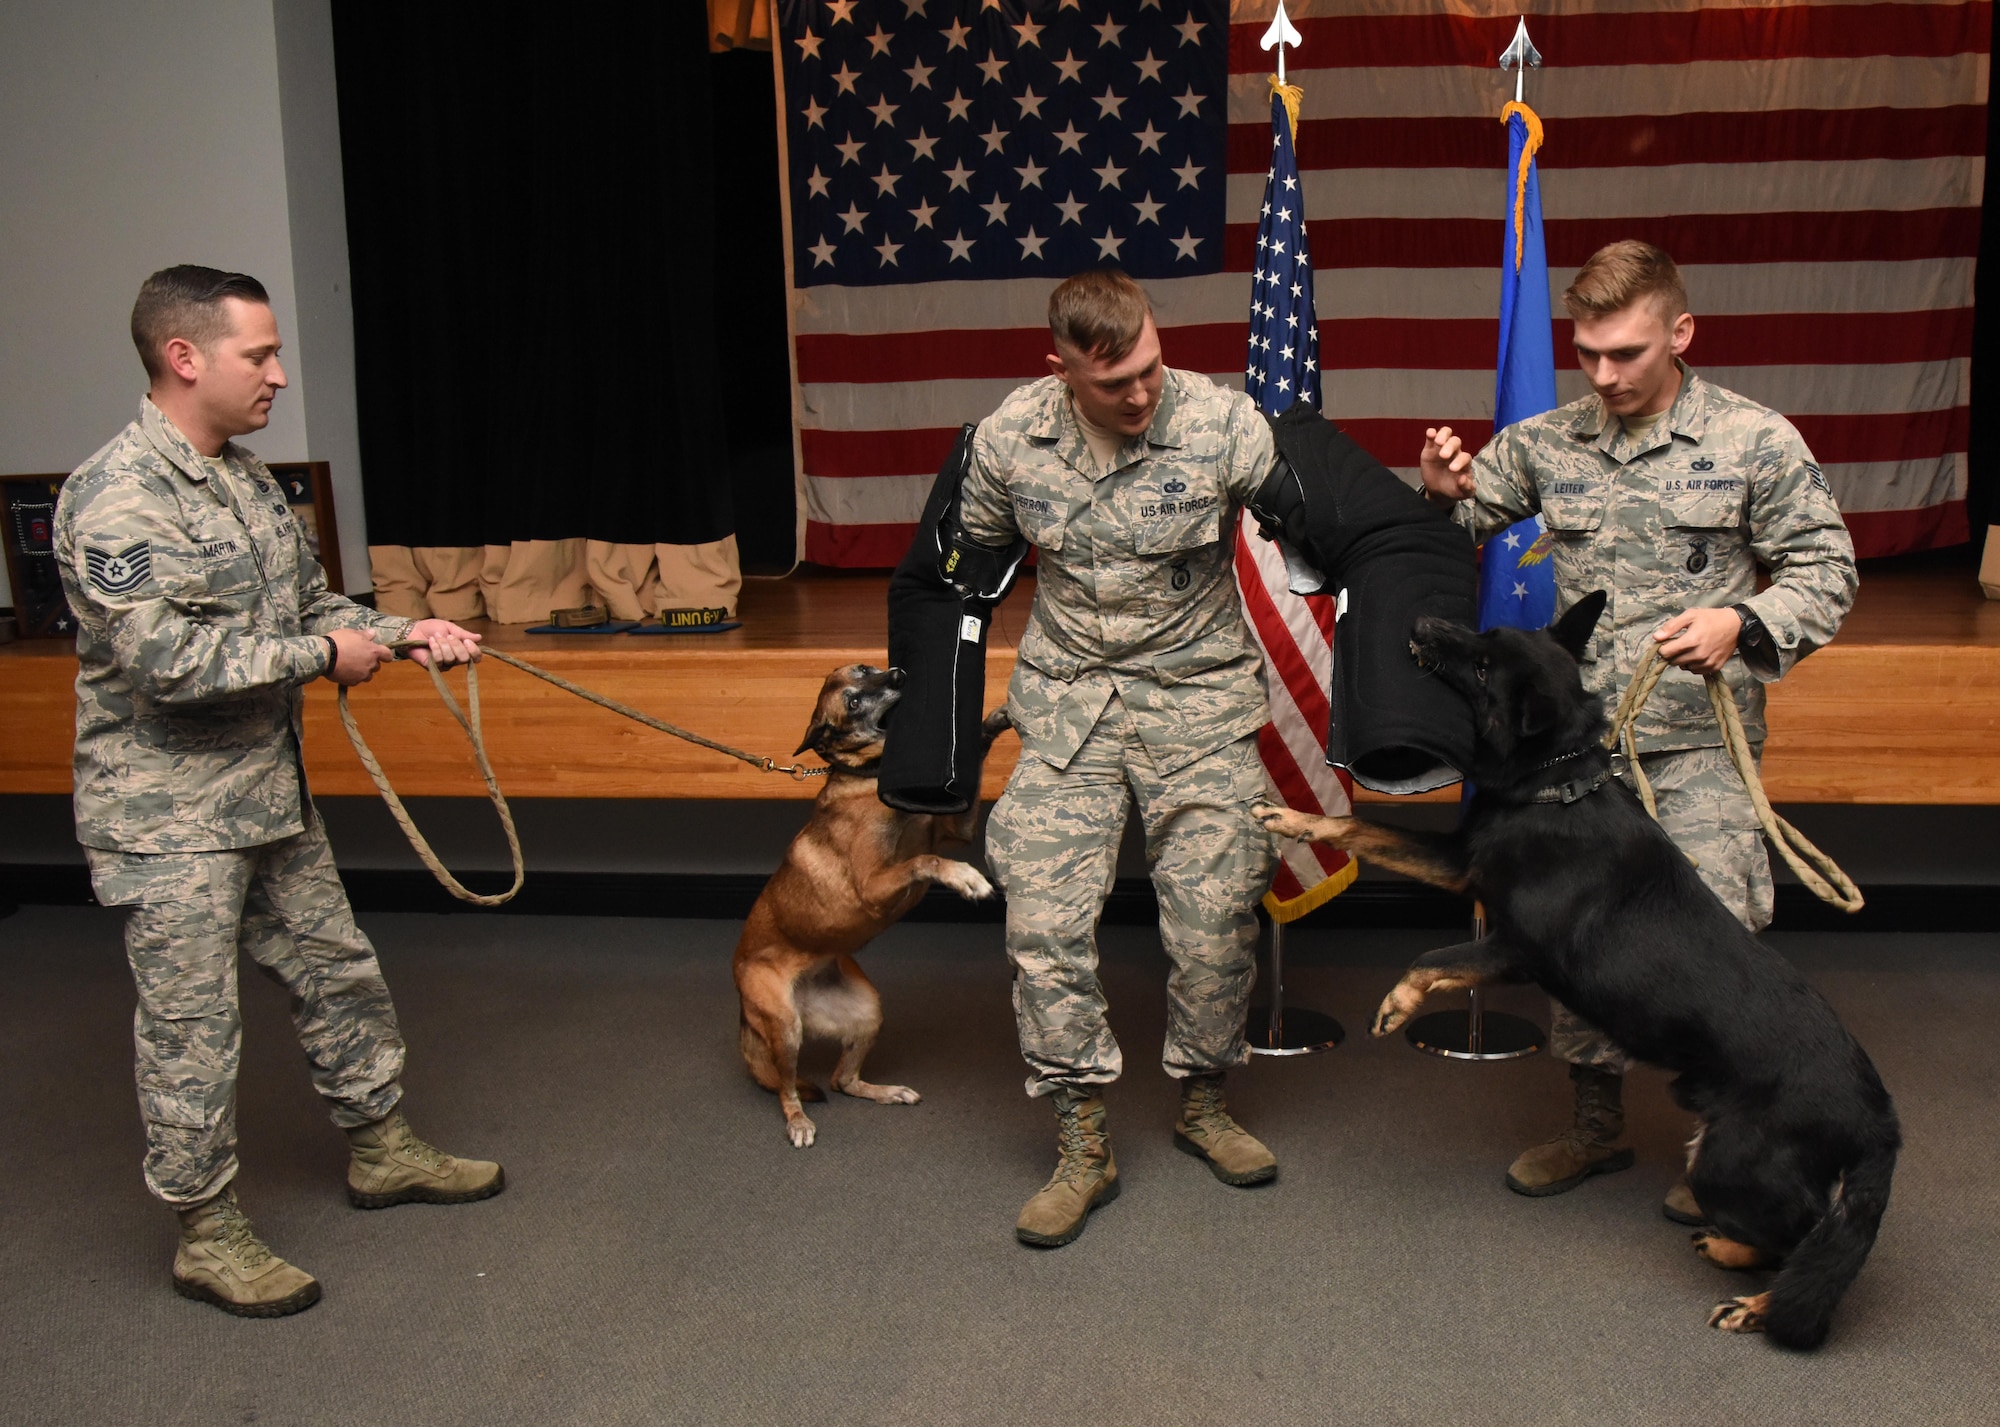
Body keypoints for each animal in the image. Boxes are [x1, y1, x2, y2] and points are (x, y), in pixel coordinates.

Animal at [736, 659, 1008, 1143]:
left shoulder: (956, 830)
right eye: (854, 703)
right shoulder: (875, 886)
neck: (869, 779)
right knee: (788, 1087)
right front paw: (965, 878)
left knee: (842, 1081)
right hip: (784, 1027)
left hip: (867, 1011)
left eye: (864, 669)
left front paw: (991, 722)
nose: (899, 675)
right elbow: (925, 860)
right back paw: (798, 1121)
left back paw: (884, 1092)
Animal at [1256, 587, 1896, 1343]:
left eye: (1481, 667)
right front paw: (1295, 820)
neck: (1554, 783)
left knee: (1808, 1243)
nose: (1419, 622)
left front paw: (1398, 1004)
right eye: (1486, 636)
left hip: (1730, 1162)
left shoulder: (1516, 950)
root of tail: (1879, 1119)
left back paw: (1755, 1302)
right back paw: (1729, 1254)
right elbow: (1360, 827)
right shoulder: (1460, 867)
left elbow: (1431, 955)